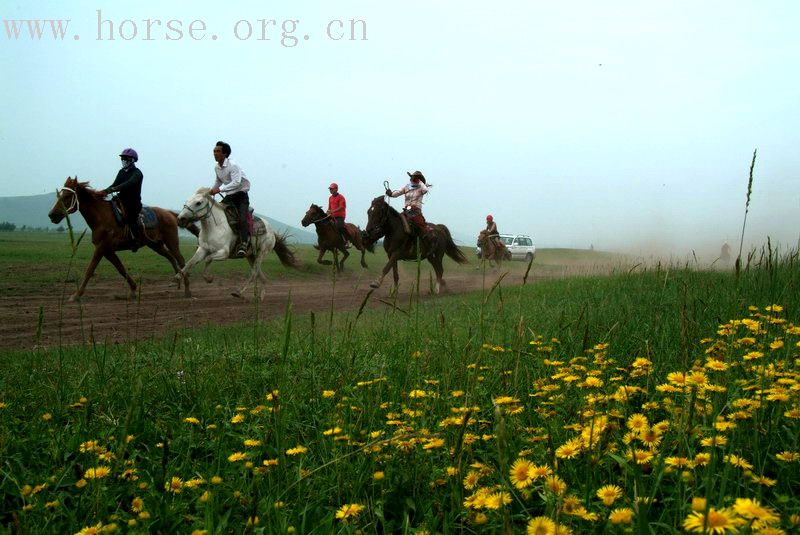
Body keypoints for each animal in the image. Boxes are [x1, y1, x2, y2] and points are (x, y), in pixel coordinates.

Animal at [47, 176, 198, 302]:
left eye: (67, 196)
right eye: (60, 194)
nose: (52, 215)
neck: (101, 217)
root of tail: (170, 213)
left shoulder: (101, 248)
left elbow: (90, 270)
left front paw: (76, 295)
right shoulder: (107, 250)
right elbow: (120, 268)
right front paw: (133, 290)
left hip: (171, 242)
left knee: (180, 259)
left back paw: (187, 289)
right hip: (155, 245)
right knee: (170, 258)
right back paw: (177, 280)